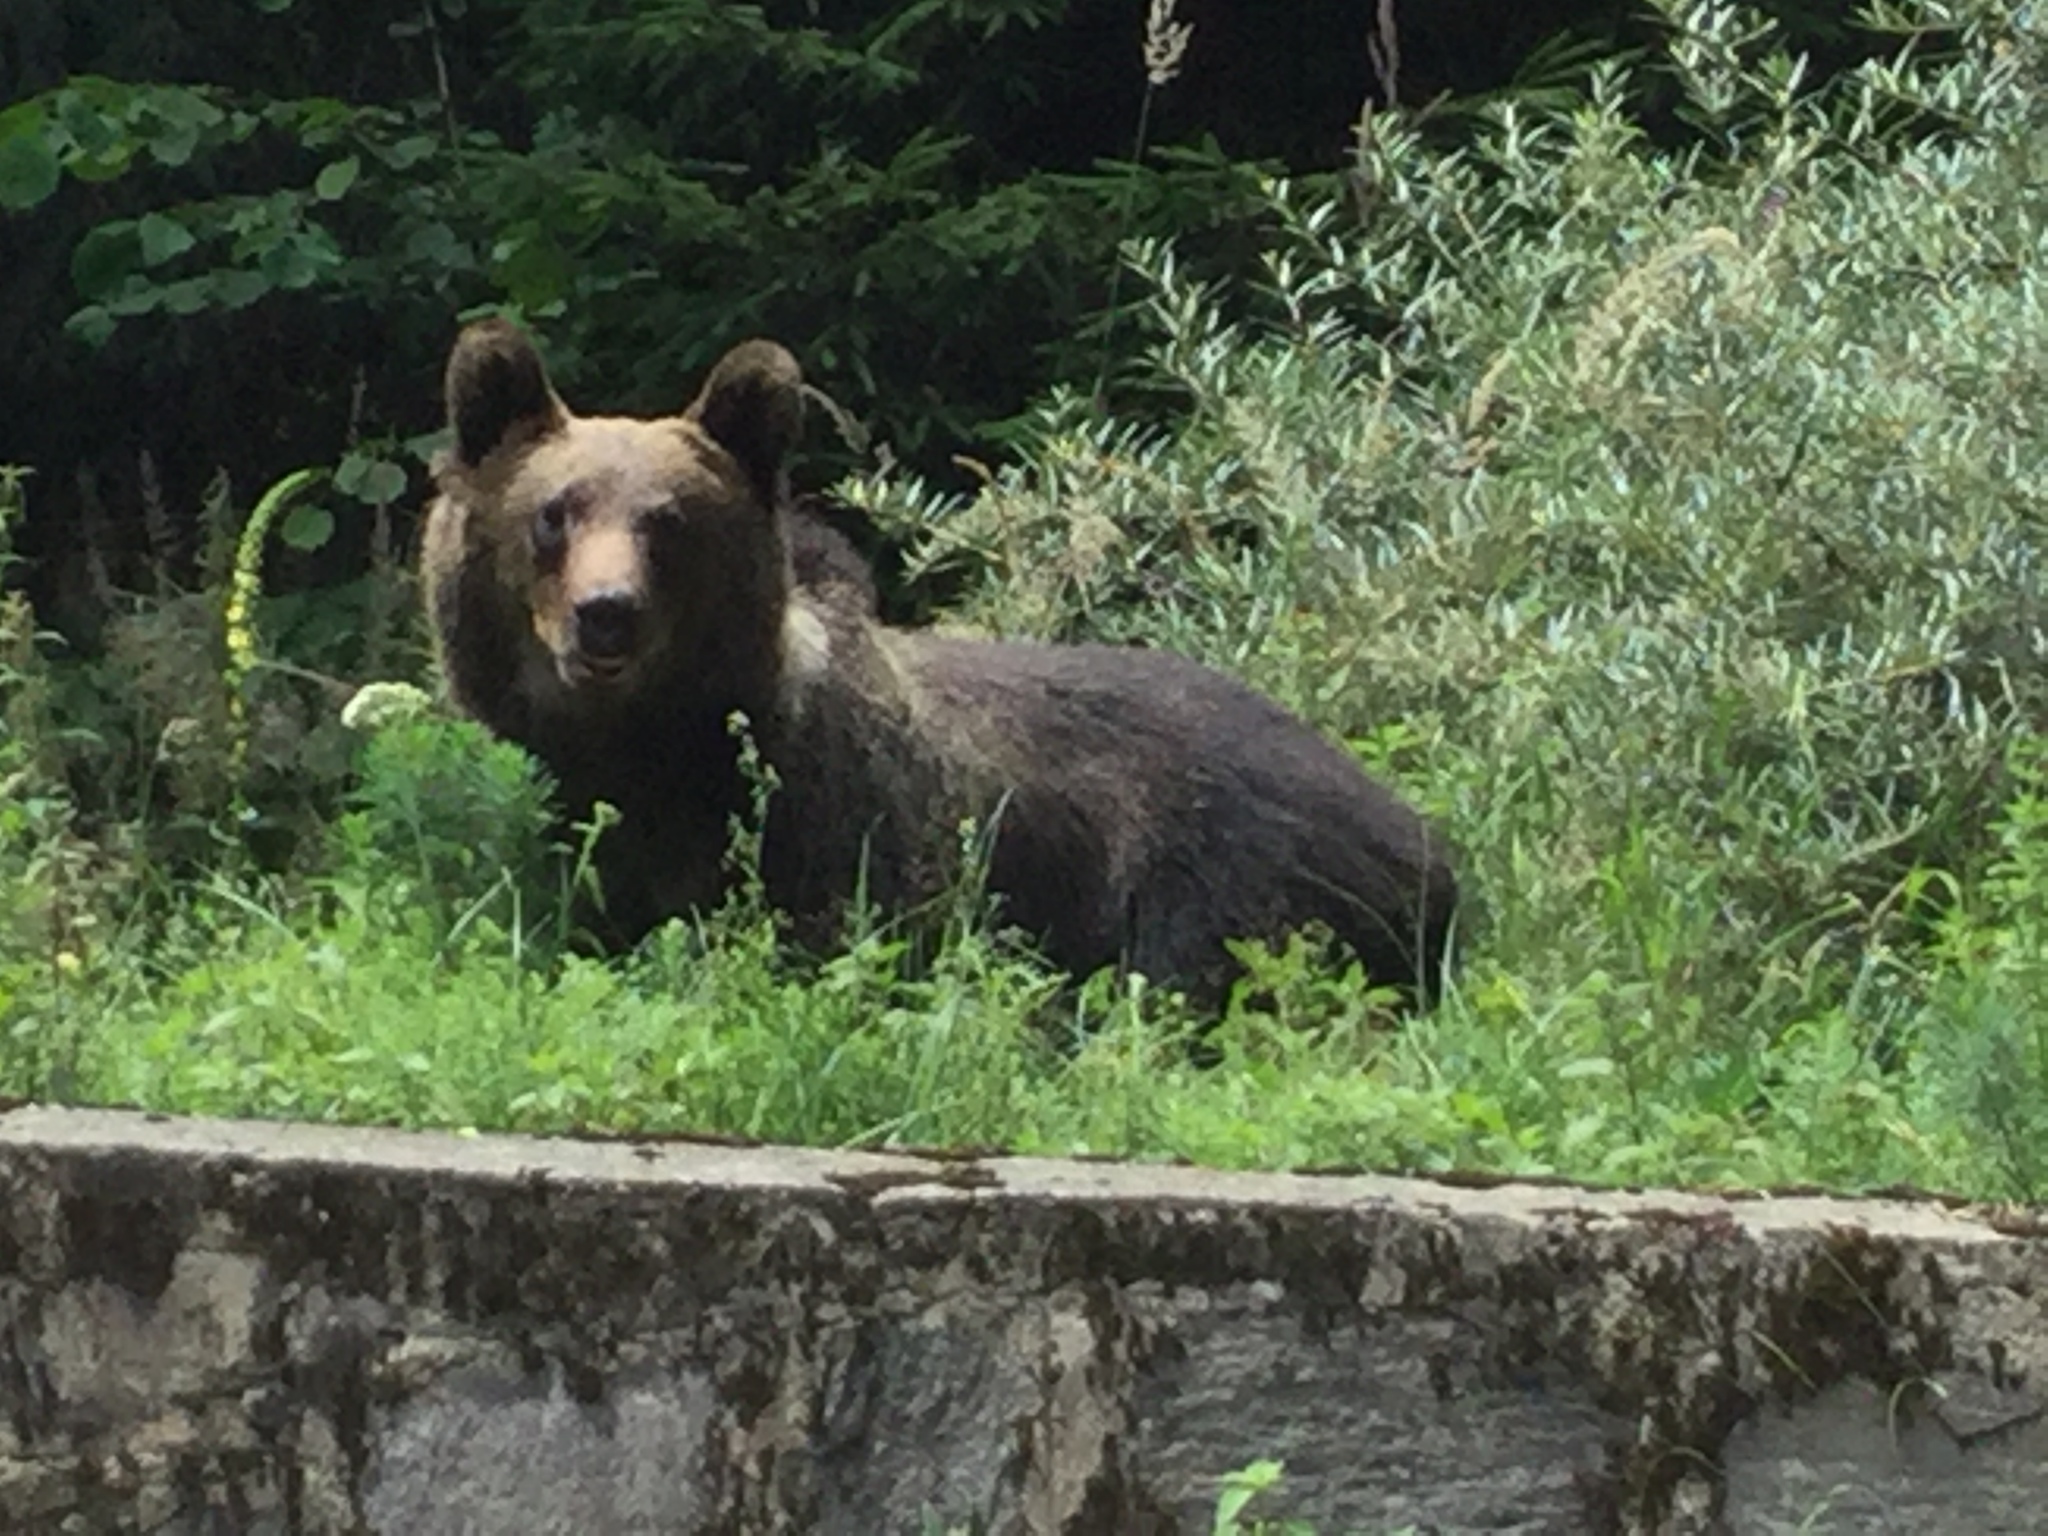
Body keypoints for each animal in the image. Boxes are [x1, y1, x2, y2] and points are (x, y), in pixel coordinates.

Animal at [415, 319, 1458, 1011]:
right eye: (555, 511)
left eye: (667, 522)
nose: (607, 617)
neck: (660, 750)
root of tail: (1427, 839)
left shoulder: (849, 827)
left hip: (1229, 875)